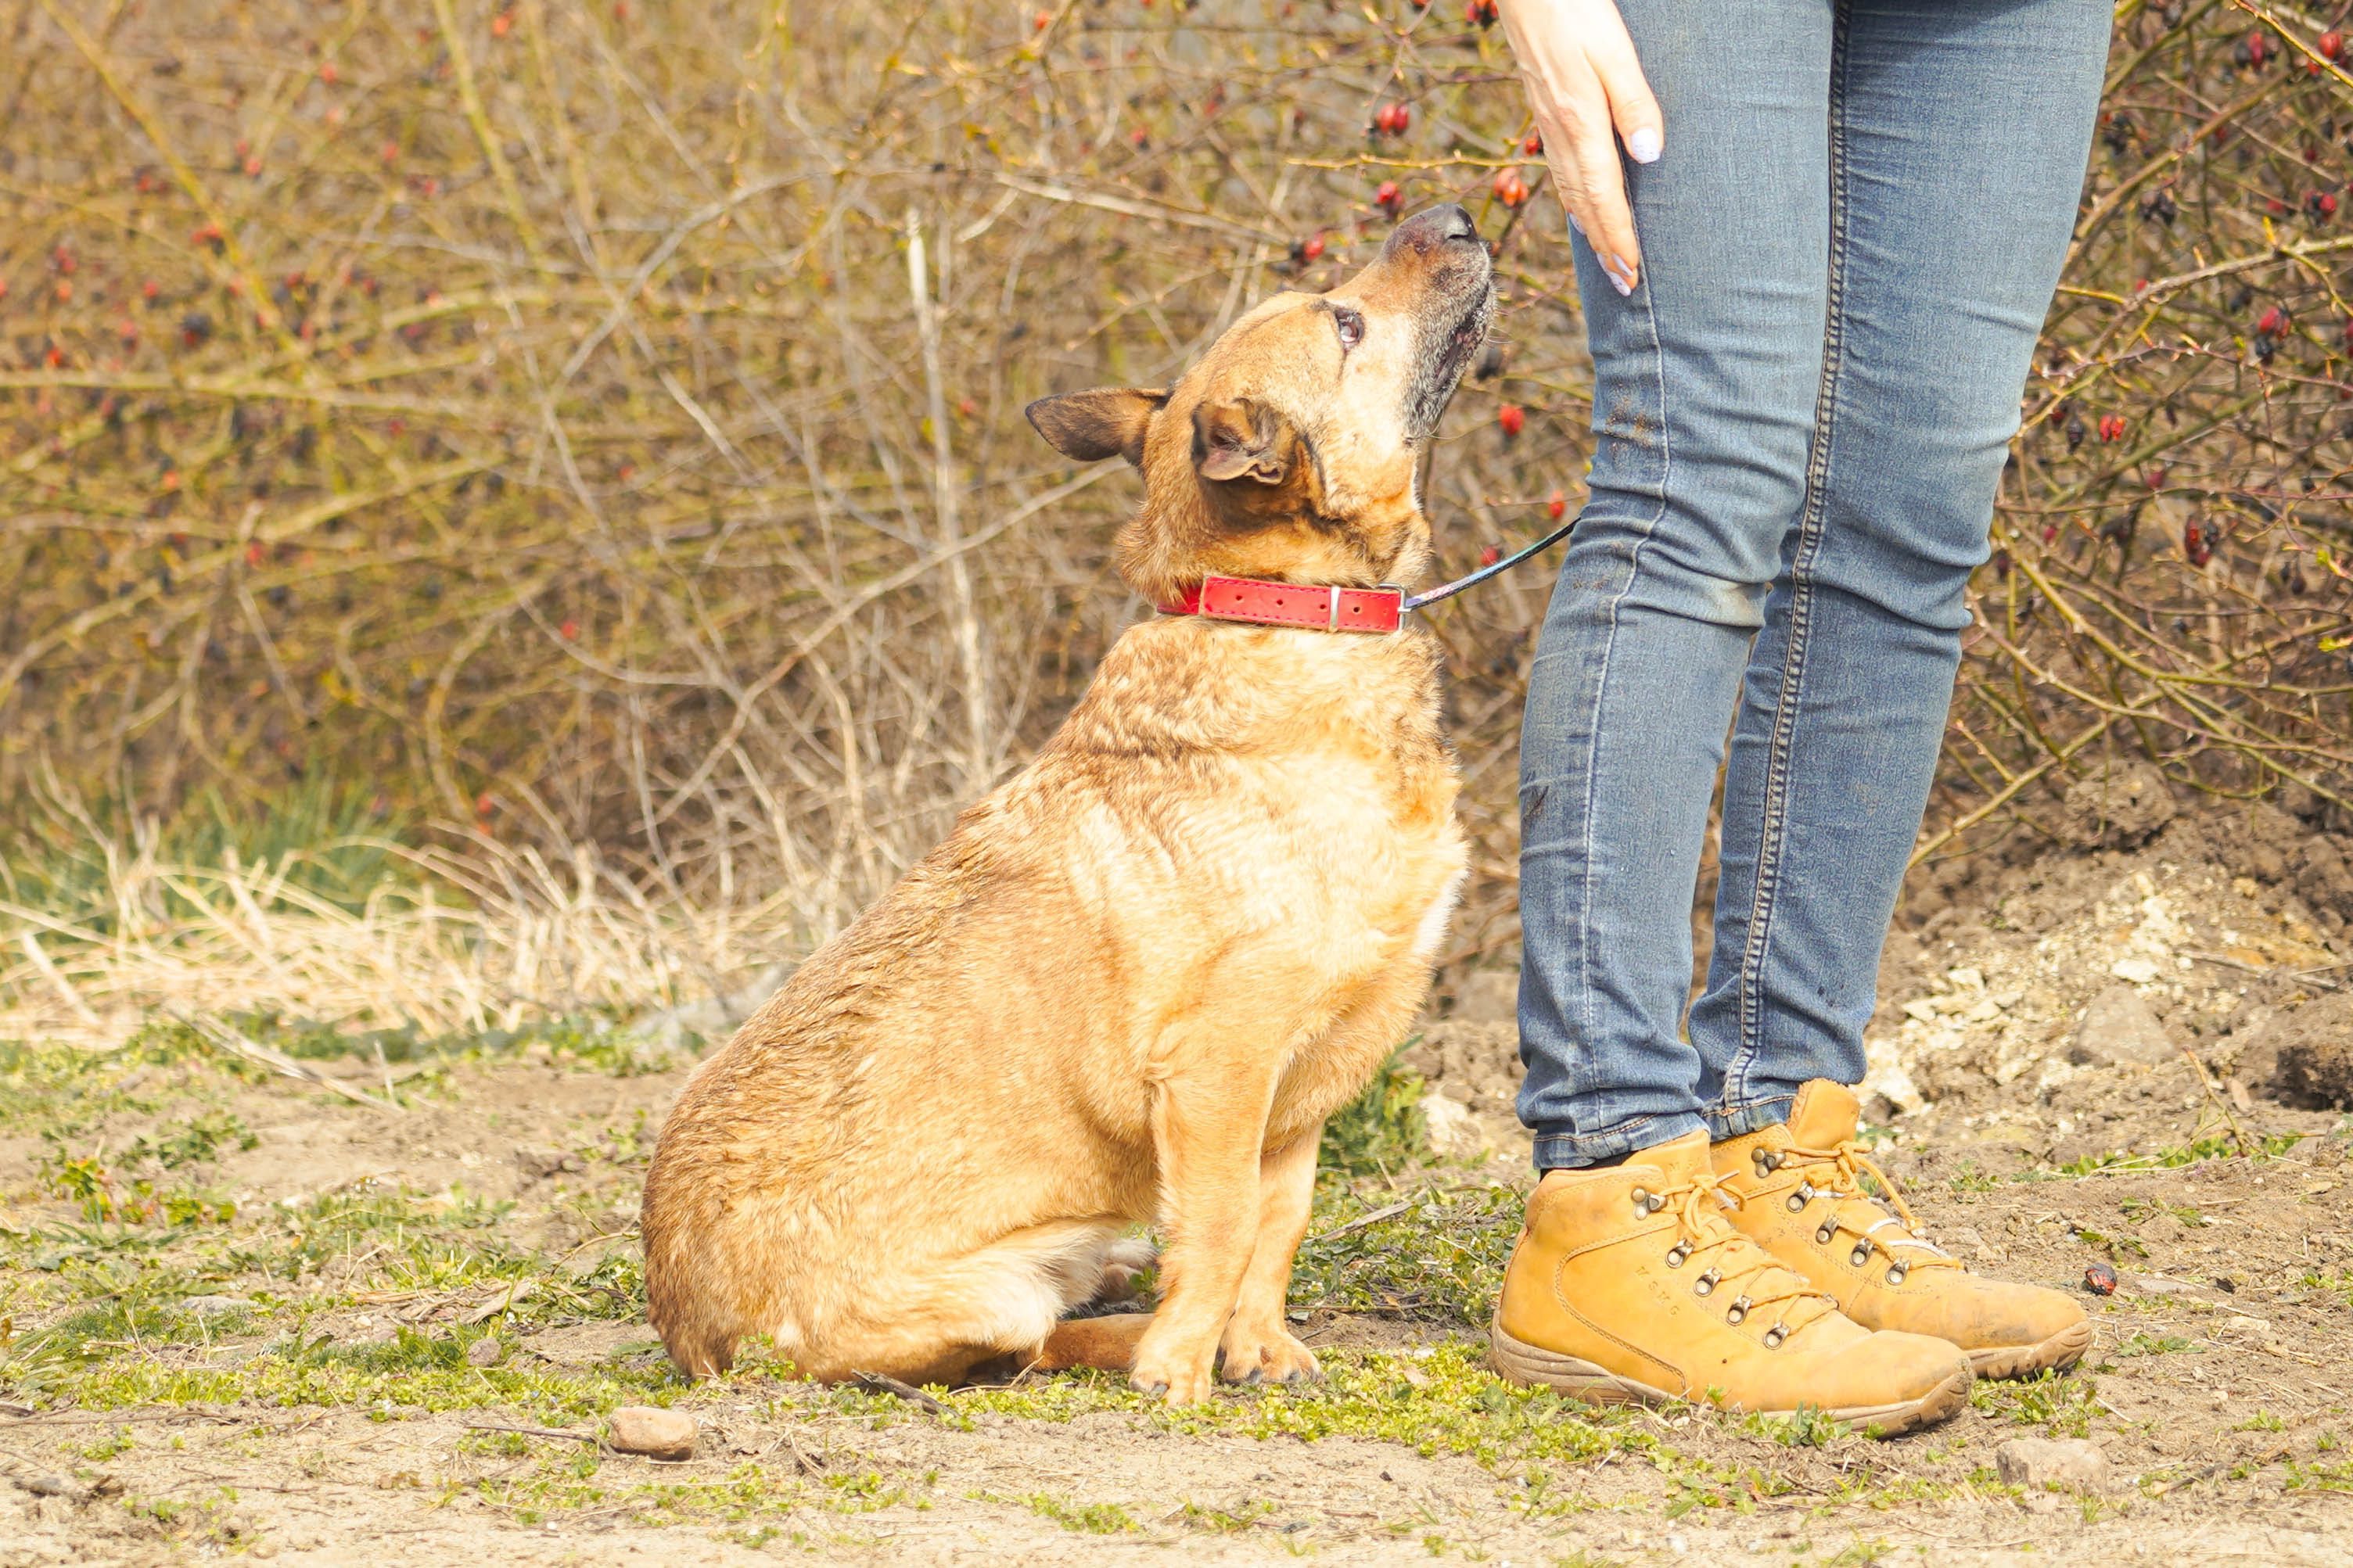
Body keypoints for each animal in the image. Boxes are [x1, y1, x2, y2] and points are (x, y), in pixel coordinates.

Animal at [645, 206, 1487, 1401]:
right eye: (1345, 322)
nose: (1452, 217)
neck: (1284, 613)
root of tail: (689, 1333)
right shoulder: (1220, 1069)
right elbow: (1223, 1226)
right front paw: (1182, 1373)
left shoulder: (1297, 1090)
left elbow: (1277, 1224)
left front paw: (1257, 1348)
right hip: (992, 1291)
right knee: (1028, 1340)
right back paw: (1142, 1342)